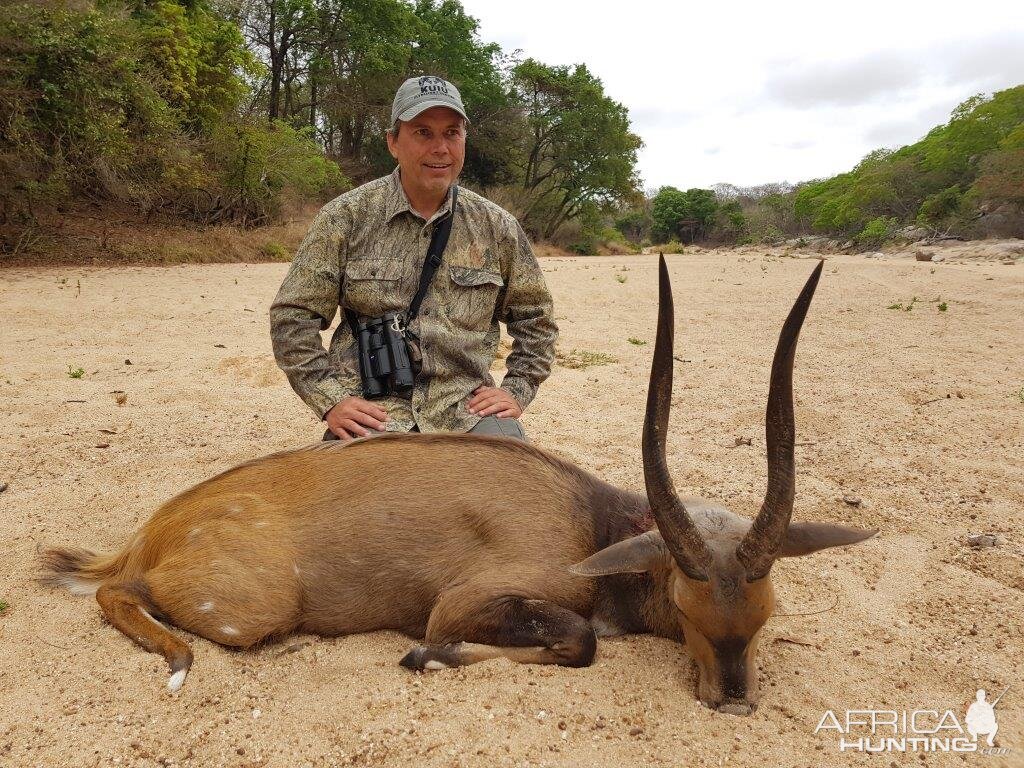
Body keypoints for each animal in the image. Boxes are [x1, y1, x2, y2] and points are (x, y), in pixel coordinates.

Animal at [39, 257, 872, 716]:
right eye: (688, 602)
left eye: (765, 613)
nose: (732, 697)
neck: (593, 522)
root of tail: (153, 528)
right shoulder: (463, 604)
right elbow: (574, 642)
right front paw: (426, 659)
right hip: (254, 611)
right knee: (118, 594)